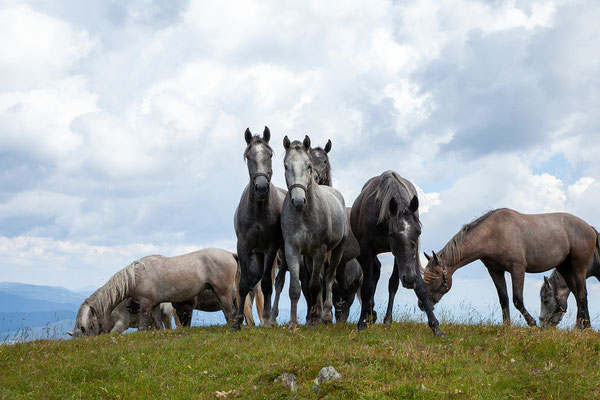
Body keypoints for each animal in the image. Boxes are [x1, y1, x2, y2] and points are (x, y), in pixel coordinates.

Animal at [231, 126, 288, 330]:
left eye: (269, 154)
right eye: (248, 156)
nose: (262, 187)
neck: (258, 212)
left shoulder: (271, 247)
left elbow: (266, 284)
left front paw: (267, 318)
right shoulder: (244, 247)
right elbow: (244, 286)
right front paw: (236, 323)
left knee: (276, 283)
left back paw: (271, 316)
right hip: (258, 253)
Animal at [282, 134, 350, 328]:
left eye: (308, 165)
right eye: (286, 165)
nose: (298, 201)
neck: (304, 215)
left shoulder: (319, 251)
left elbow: (315, 285)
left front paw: (317, 317)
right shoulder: (293, 250)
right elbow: (296, 288)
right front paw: (293, 324)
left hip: (336, 251)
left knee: (328, 278)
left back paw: (325, 314)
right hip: (309, 257)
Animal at [350, 170, 442, 336]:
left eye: (418, 232)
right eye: (392, 234)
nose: (409, 279)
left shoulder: (404, 257)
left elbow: (412, 286)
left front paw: (435, 326)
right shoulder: (366, 251)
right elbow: (367, 287)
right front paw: (362, 323)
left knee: (384, 277)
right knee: (373, 277)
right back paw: (369, 313)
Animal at [424, 208, 596, 330]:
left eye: (434, 277)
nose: (422, 304)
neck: (494, 233)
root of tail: (590, 228)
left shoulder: (517, 269)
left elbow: (517, 299)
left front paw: (532, 323)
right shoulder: (495, 271)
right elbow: (503, 299)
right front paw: (506, 326)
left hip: (579, 267)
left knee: (581, 294)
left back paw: (580, 327)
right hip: (565, 268)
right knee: (578, 294)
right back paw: (585, 326)